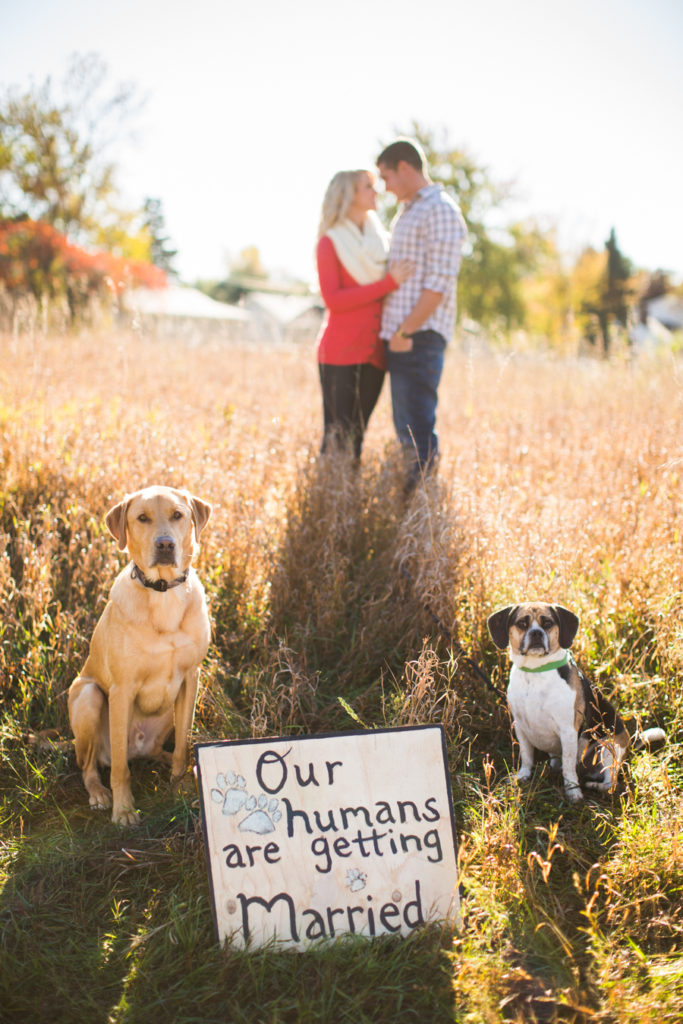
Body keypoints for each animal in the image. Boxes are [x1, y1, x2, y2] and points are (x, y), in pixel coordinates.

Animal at [68, 485, 210, 823]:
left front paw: (180, 786)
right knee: (91, 766)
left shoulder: (191, 678)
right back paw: (99, 793)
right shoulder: (122, 690)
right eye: (142, 518)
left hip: (167, 712)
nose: (165, 544)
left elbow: (184, 743)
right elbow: (120, 768)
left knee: (163, 749)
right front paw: (123, 810)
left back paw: (173, 762)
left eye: (177, 515)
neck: (164, 591)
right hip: (89, 696)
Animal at [489, 602, 663, 802]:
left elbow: (569, 765)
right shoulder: (520, 726)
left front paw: (573, 791)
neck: (536, 672)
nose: (536, 633)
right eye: (522, 623)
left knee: (610, 784)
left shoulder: (568, 731)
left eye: (548, 623)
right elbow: (526, 757)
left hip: (608, 748)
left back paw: (595, 785)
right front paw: (523, 776)